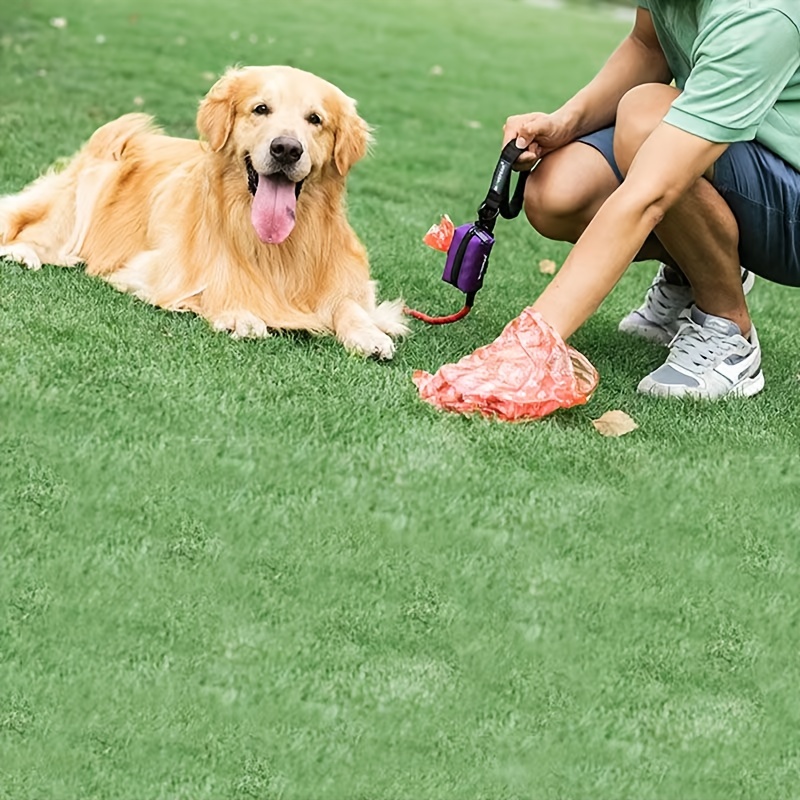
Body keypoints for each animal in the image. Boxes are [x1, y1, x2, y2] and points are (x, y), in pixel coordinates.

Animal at [0, 65, 410, 360]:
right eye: (261, 109)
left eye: (315, 119)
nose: (286, 149)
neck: (274, 246)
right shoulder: (153, 270)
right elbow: (211, 286)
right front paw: (239, 313)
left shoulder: (347, 283)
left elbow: (349, 305)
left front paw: (368, 334)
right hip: (89, 189)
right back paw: (23, 253)